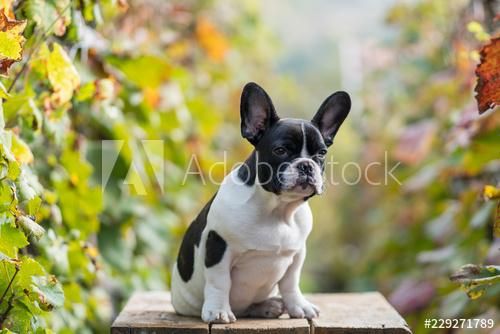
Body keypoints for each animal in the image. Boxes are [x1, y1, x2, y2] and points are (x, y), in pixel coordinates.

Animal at [172, 81, 352, 324]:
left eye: (321, 153)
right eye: (280, 150)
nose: (306, 165)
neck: (277, 209)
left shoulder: (297, 253)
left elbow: (291, 283)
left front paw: (298, 306)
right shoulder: (218, 245)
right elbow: (220, 282)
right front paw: (218, 311)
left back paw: (269, 305)